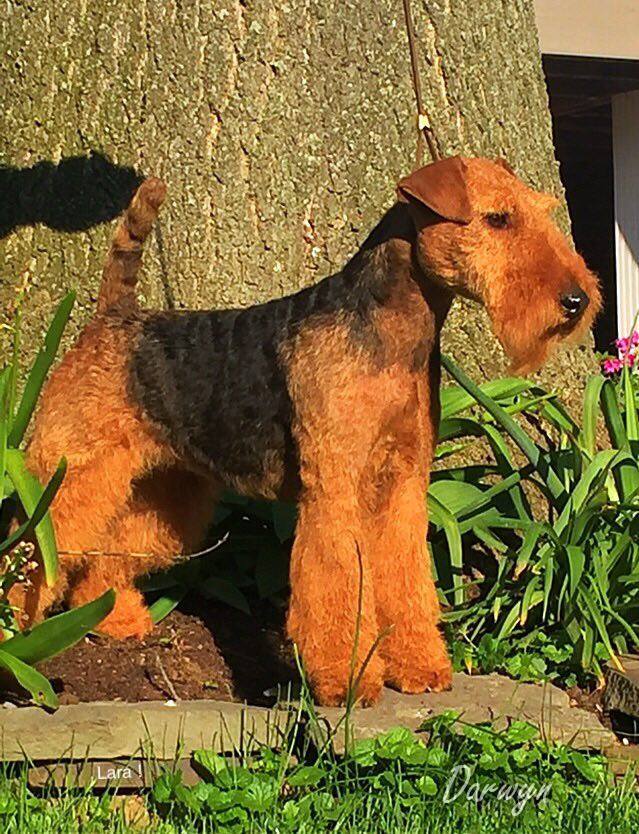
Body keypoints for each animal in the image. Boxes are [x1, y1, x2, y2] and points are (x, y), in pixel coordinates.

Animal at [10, 154, 604, 704]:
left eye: (540, 211)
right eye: (498, 218)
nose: (576, 301)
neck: (393, 336)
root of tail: (113, 317)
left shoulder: (403, 485)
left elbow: (407, 579)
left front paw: (420, 668)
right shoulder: (334, 489)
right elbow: (335, 583)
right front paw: (347, 682)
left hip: (163, 491)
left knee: (109, 554)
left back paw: (115, 619)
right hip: (71, 471)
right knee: (36, 545)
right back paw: (15, 630)